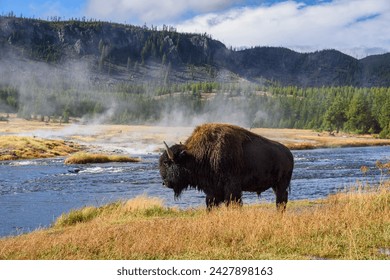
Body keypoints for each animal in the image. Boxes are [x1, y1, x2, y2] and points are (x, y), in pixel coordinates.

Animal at [158, 122, 292, 210]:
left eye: (167, 162)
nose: (164, 183)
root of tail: (289, 153)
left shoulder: (232, 188)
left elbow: (233, 203)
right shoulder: (212, 191)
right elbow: (210, 204)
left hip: (281, 184)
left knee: (281, 200)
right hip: (275, 185)